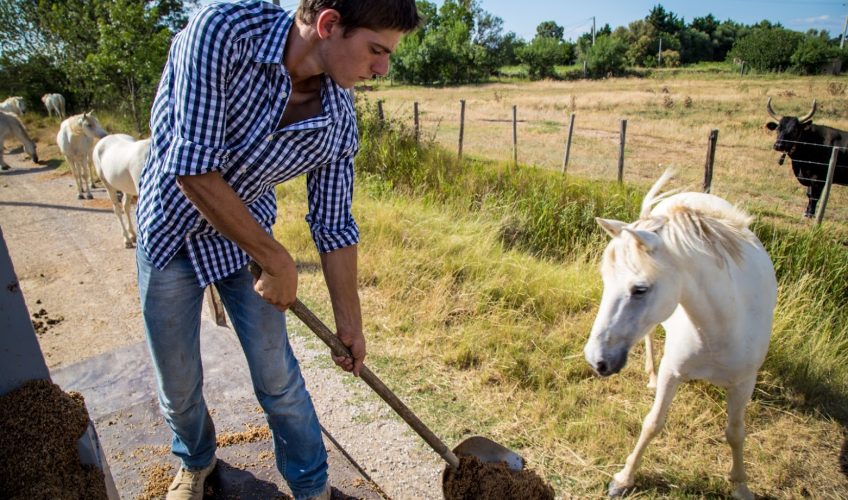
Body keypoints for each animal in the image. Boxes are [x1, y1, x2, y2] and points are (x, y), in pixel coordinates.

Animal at [584, 170, 776, 498]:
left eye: (640, 289)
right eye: (605, 280)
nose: (596, 360)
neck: (720, 327)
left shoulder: (744, 383)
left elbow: (736, 433)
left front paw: (740, 485)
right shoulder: (672, 373)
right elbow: (653, 423)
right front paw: (624, 478)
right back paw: (649, 374)